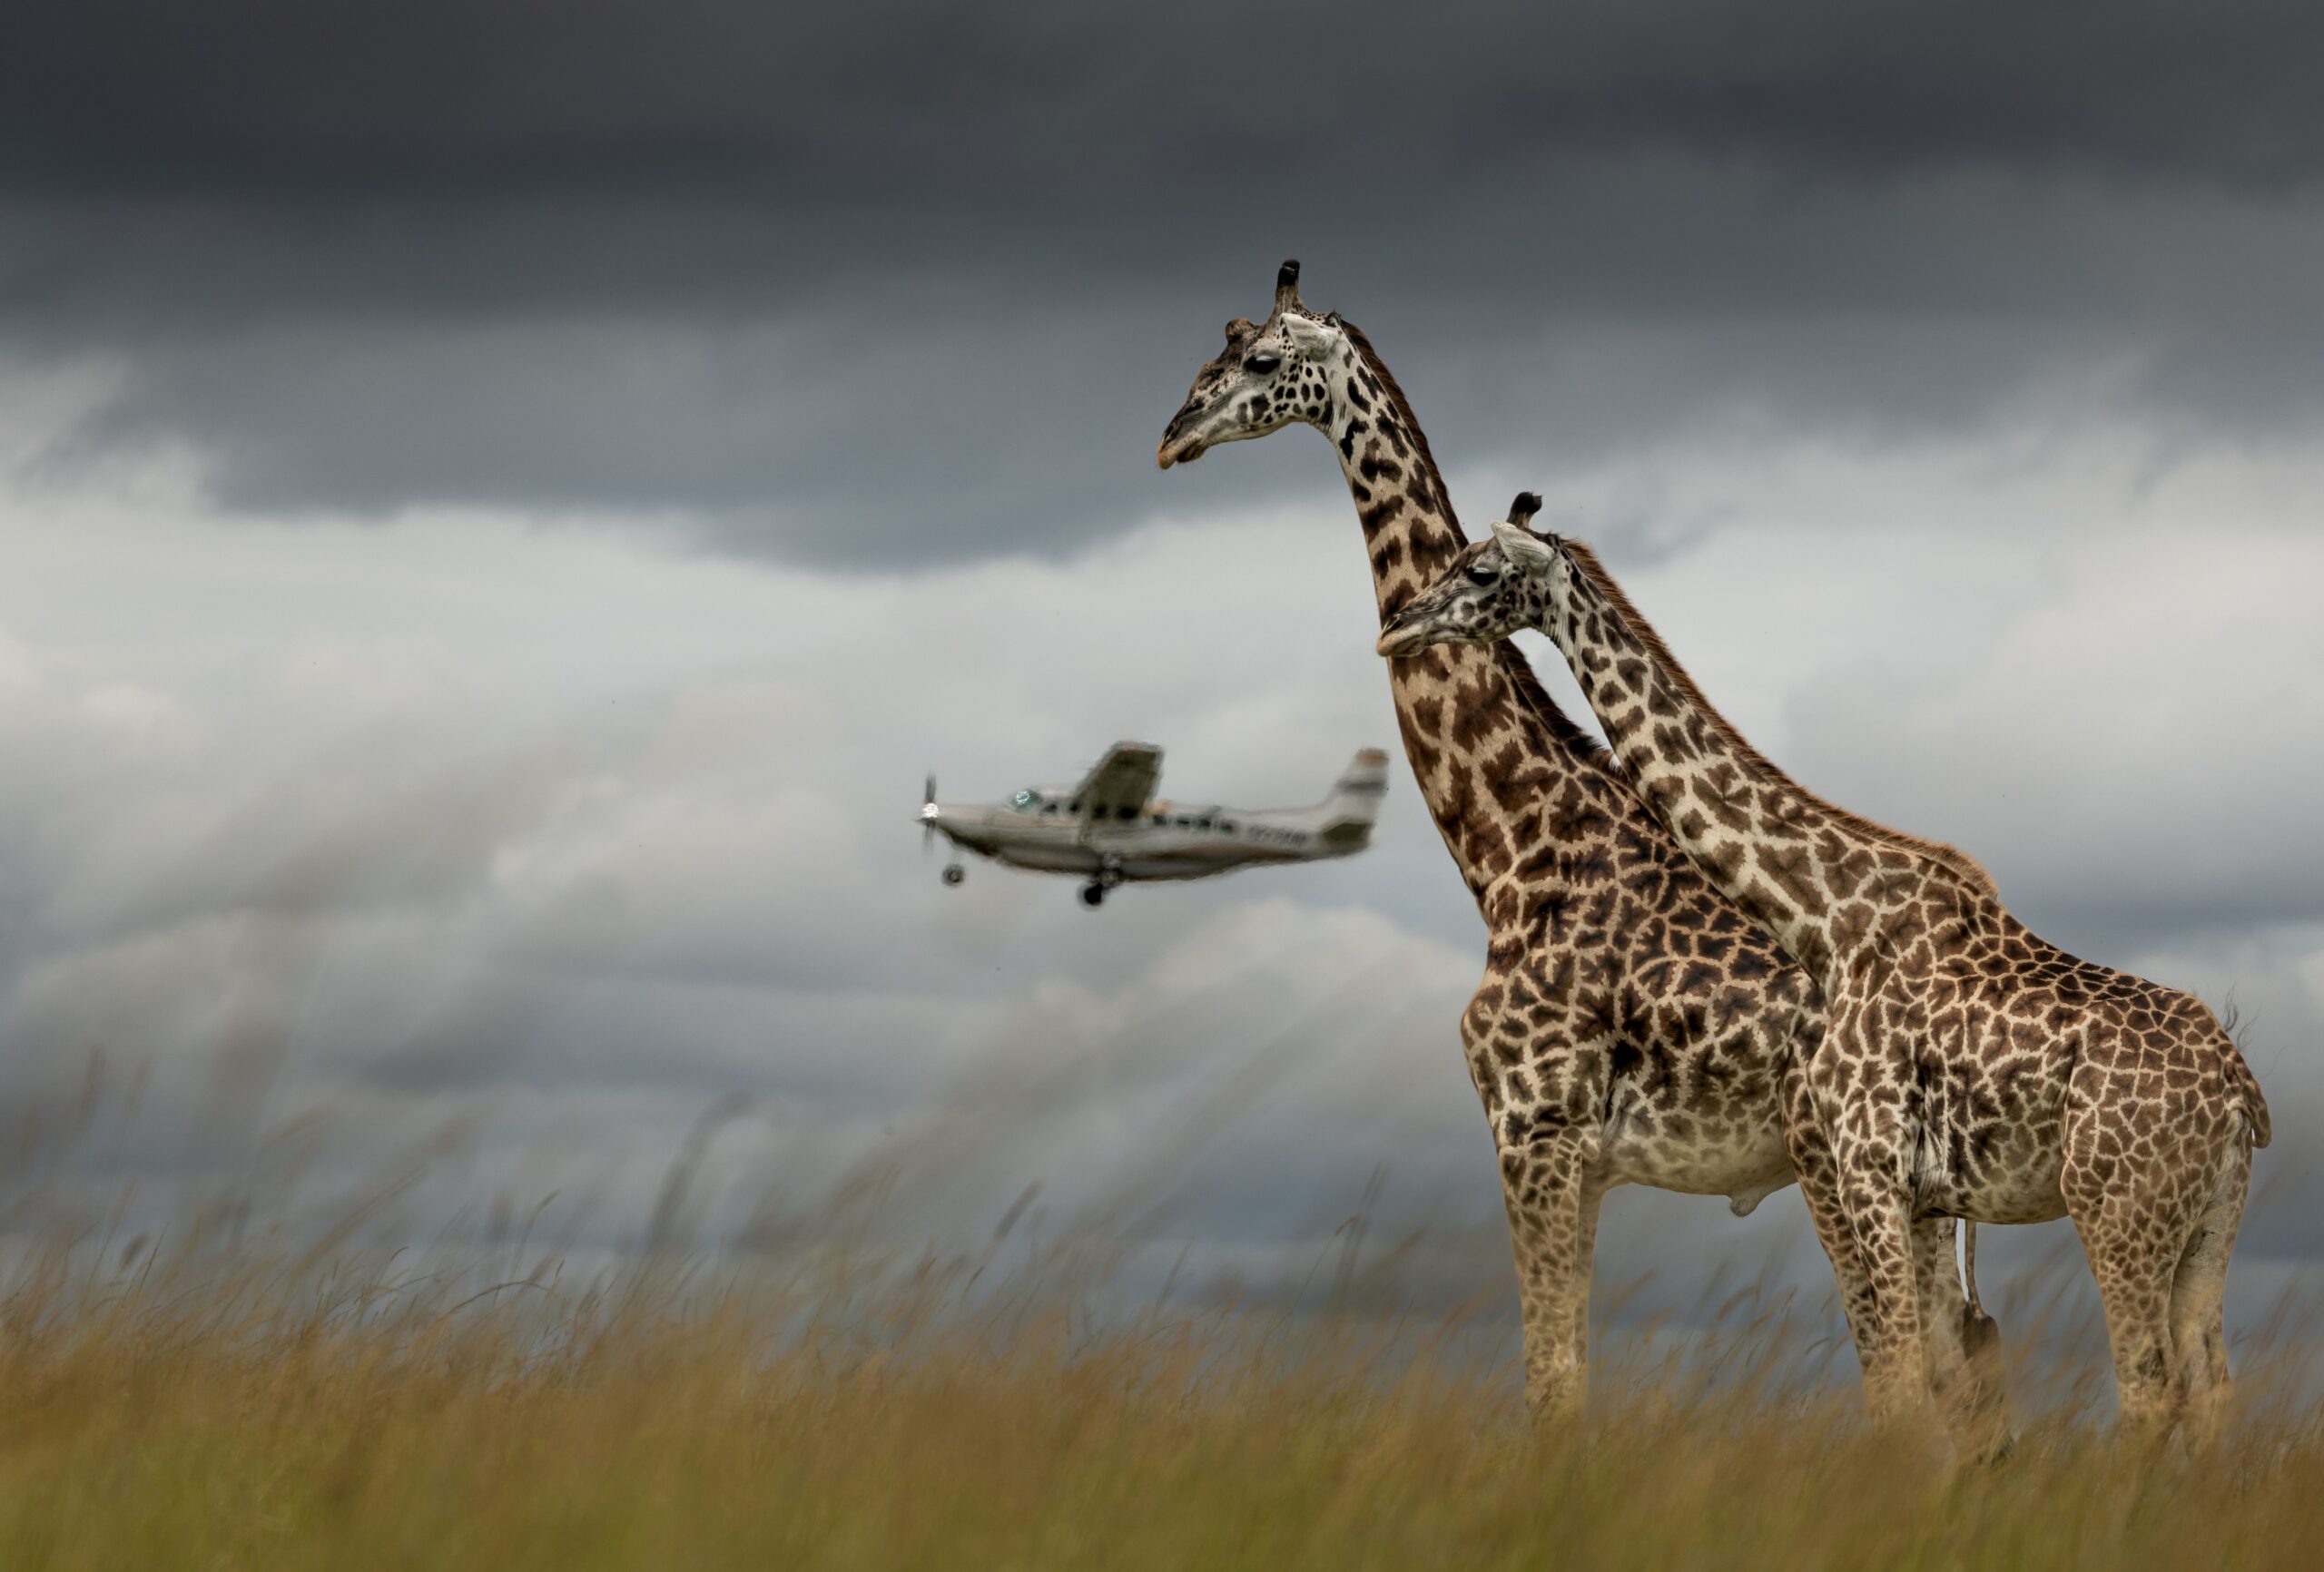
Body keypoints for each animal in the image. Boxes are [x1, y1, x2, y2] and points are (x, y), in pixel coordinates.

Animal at [1158, 262, 2002, 1434]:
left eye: (1263, 359)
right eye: (1215, 347)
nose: (1171, 435)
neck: (1511, 844)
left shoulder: (1534, 1126)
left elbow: (1550, 1378)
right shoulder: (1582, 1159)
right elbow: (1570, 1369)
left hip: (1843, 1169)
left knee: (1910, 1371)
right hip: (1928, 1196)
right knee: (1964, 1368)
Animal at [1378, 493, 2267, 1442]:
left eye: (1479, 569)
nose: (1396, 629)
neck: (1826, 921)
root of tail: (2237, 1090)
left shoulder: (1867, 1167)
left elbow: (1905, 1388)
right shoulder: (1916, 1195)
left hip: (2115, 1209)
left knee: (2146, 1390)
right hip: (2210, 1223)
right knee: (2210, 1387)